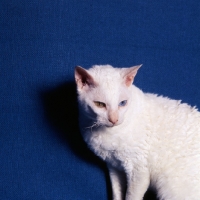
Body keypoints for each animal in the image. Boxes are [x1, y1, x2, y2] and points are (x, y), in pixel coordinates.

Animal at [74, 64, 200, 200]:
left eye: (122, 103)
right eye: (99, 104)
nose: (114, 120)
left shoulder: (138, 170)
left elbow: (131, 196)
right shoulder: (114, 167)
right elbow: (117, 193)